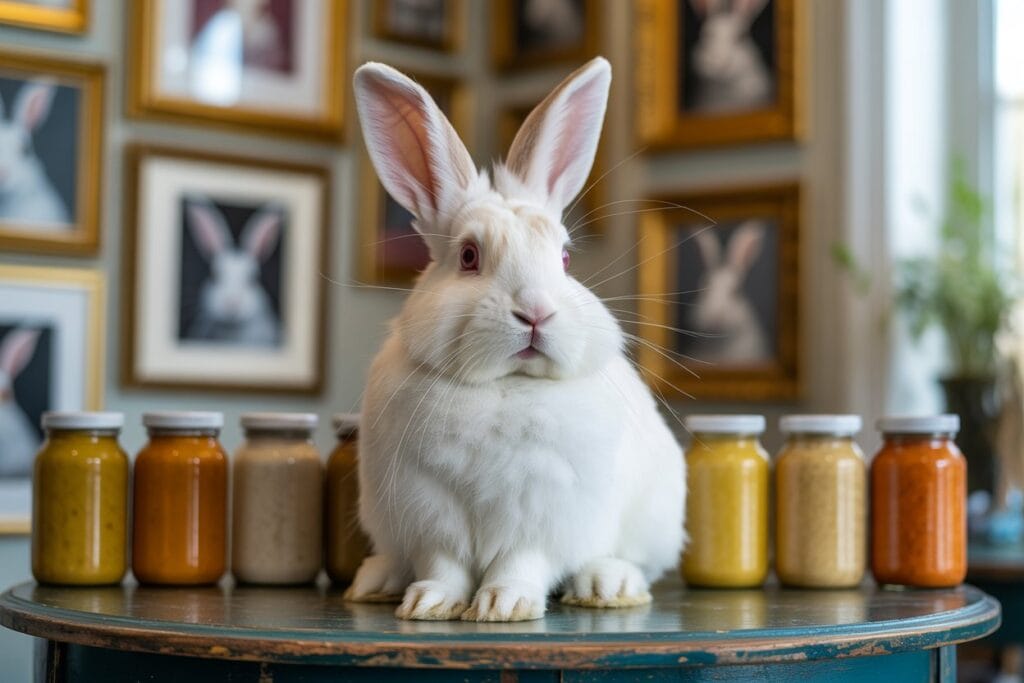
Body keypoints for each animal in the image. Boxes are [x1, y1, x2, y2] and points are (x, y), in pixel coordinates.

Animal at [345, 57, 685, 622]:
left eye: (566, 258)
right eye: (468, 256)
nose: (536, 312)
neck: (504, 385)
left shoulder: (541, 517)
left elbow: (521, 562)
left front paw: (503, 605)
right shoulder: (430, 514)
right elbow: (443, 566)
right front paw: (429, 603)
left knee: (634, 562)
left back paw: (607, 585)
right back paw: (379, 580)